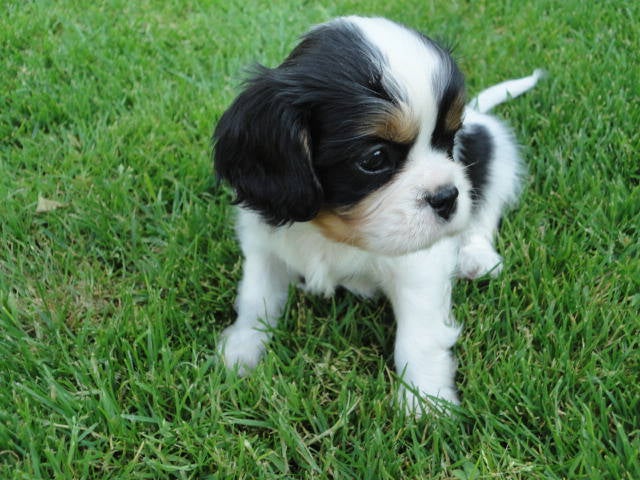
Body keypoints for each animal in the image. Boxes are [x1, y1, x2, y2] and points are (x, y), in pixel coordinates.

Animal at [212, 16, 542, 413]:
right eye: (374, 159)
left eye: (450, 139)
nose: (446, 197)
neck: (333, 230)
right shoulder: (265, 246)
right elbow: (256, 300)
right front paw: (240, 351)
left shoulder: (420, 269)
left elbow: (418, 338)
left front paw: (425, 404)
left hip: (497, 153)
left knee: (484, 214)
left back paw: (476, 257)